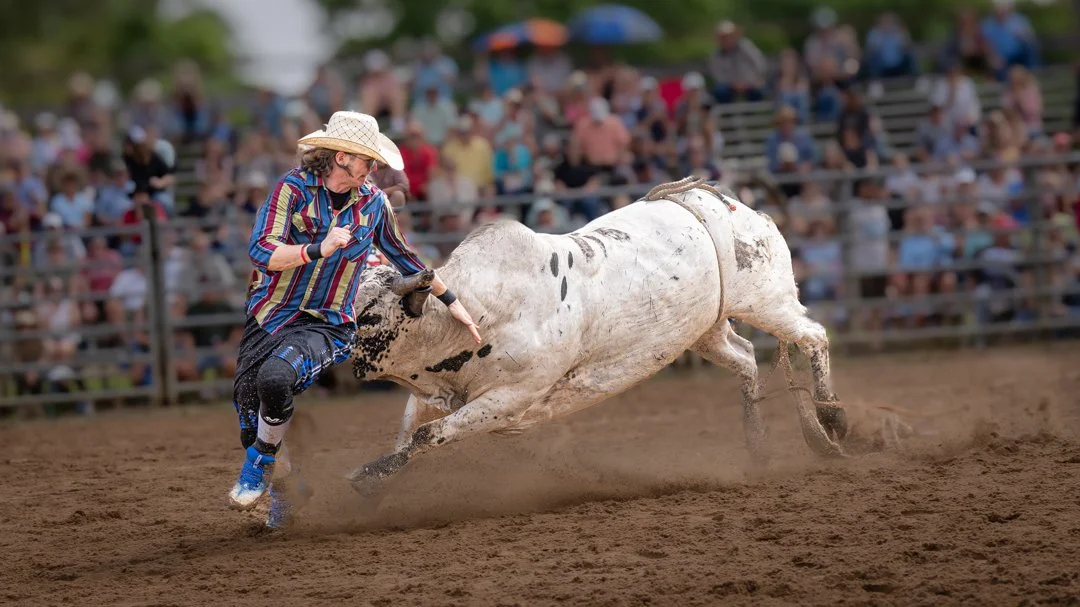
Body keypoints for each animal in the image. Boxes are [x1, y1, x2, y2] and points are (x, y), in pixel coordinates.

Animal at [342, 176, 850, 496]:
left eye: (369, 314)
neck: (476, 311)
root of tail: (724, 200)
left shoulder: (509, 399)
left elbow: (427, 435)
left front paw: (368, 478)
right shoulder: (436, 392)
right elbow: (407, 435)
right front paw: (377, 481)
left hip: (766, 300)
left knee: (813, 336)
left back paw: (832, 420)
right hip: (704, 328)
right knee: (745, 358)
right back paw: (758, 445)